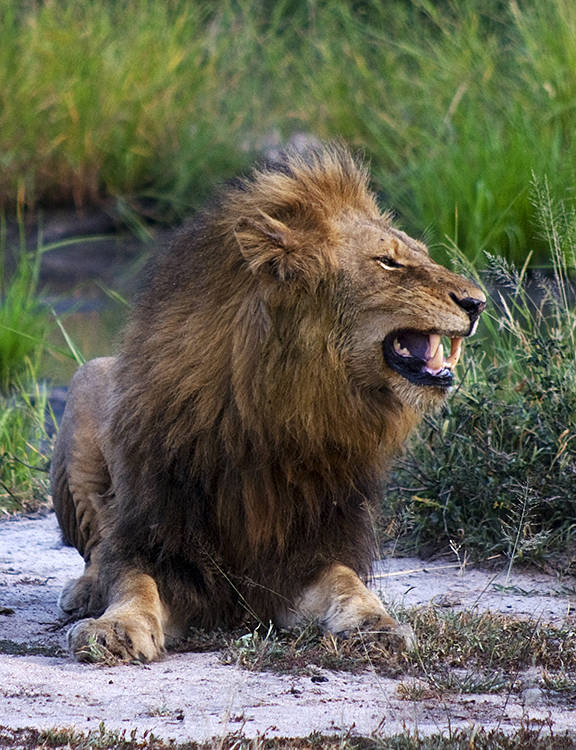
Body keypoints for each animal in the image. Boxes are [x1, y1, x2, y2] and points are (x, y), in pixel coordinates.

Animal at [51, 144, 486, 668]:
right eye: (389, 263)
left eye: (422, 255)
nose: (479, 302)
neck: (280, 414)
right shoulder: (157, 539)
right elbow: (133, 582)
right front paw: (113, 629)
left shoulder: (308, 555)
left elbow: (350, 584)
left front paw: (379, 627)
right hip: (86, 381)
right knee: (96, 546)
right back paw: (85, 593)